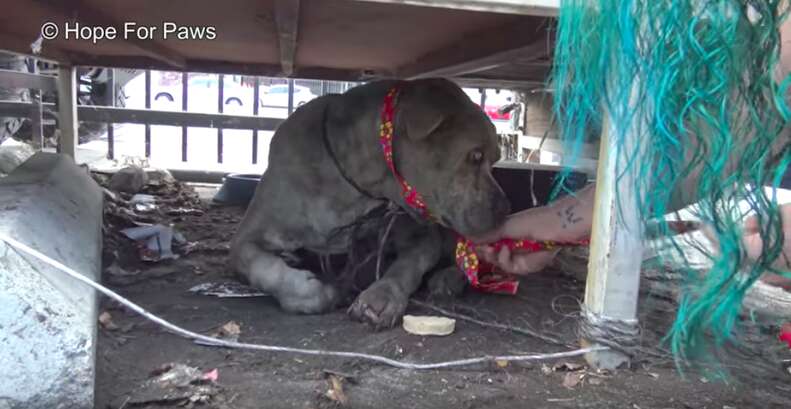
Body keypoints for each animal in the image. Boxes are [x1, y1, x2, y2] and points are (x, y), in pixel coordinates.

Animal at [232, 78, 510, 326]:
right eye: (476, 155)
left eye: (495, 159)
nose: (504, 209)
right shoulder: (248, 237)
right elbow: (261, 266)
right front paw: (316, 292)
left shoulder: (422, 237)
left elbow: (406, 267)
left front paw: (381, 296)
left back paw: (448, 279)